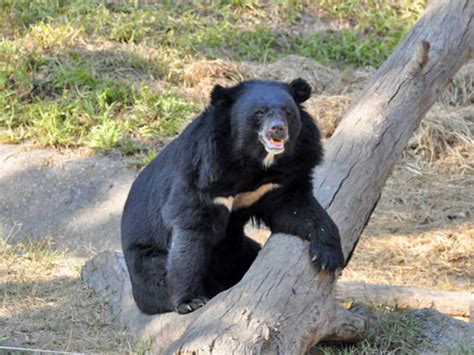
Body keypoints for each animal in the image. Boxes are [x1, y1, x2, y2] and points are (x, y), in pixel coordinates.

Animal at [122, 78, 344, 314]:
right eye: (259, 112)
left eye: (288, 112)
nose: (277, 129)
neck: (254, 163)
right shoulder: (204, 175)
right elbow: (192, 232)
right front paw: (190, 301)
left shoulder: (280, 180)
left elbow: (297, 209)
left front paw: (329, 258)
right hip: (145, 259)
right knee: (157, 274)